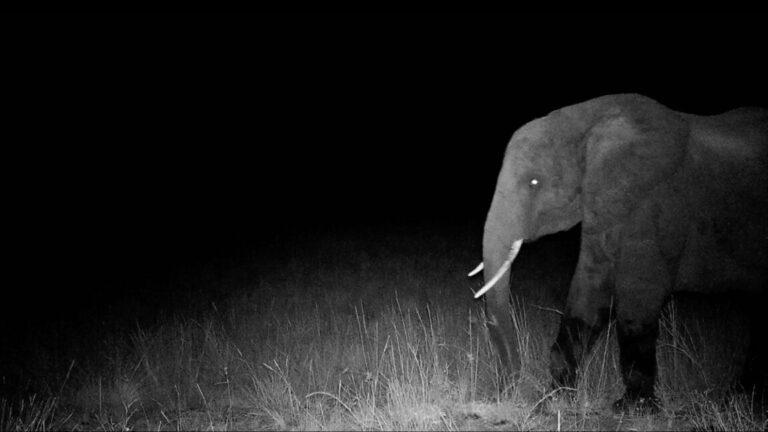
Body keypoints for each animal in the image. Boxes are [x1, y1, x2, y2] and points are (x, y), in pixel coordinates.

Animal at [470, 94, 768, 413]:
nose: (508, 390)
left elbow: (639, 299)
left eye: (534, 182)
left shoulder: (654, 205)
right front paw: (555, 400)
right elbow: (588, 292)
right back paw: (740, 400)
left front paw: (632, 407)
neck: (587, 120)